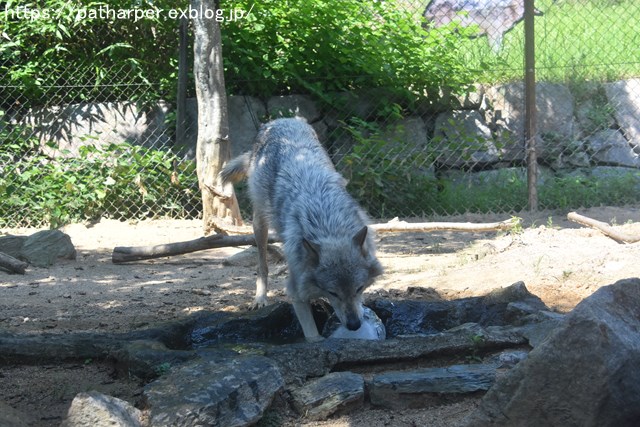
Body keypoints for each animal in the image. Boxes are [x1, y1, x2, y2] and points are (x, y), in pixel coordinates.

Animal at [221, 118, 380, 342]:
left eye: (358, 288)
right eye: (333, 293)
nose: (354, 325)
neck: (327, 221)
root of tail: (280, 120)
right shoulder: (296, 288)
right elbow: (312, 334)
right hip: (259, 225)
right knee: (262, 266)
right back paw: (260, 299)